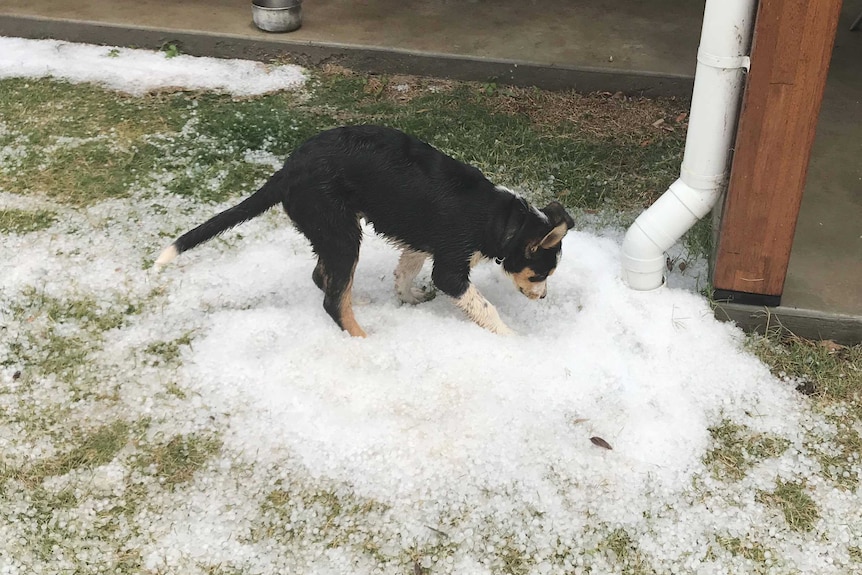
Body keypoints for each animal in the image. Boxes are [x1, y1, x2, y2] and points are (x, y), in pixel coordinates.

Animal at [155, 124, 572, 336]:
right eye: (539, 274)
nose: (543, 298)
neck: (503, 220)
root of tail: (288, 169)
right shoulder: (451, 267)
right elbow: (483, 306)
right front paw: (511, 340)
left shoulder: (422, 243)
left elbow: (404, 274)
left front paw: (409, 299)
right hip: (340, 231)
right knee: (331, 299)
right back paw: (362, 340)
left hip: (331, 231)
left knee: (324, 279)